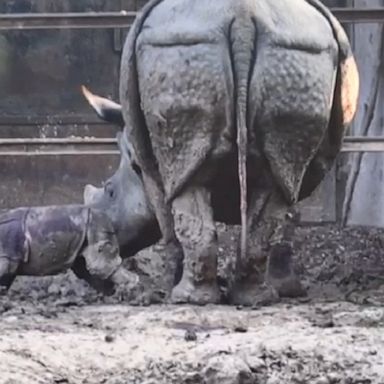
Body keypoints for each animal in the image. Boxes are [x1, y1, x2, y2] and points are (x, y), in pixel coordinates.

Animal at [0, 206, 139, 296]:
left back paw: (131, 293)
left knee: (98, 266)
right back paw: (109, 293)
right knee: (84, 267)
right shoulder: (10, 255)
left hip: (96, 225)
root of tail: (108, 217)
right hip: (91, 228)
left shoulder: (8, 255)